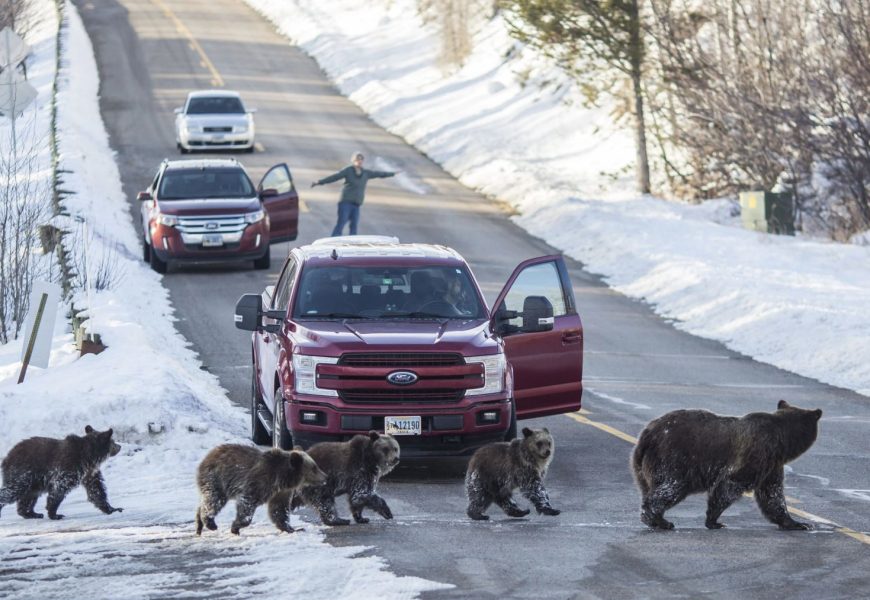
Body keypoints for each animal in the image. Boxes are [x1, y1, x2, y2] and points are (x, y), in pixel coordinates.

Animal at [195, 444, 327, 535]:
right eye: (314, 468)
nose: (325, 477)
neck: (282, 478)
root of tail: (207, 456)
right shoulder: (258, 482)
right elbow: (247, 504)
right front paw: (235, 527)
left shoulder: (281, 493)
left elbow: (279, 510)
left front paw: (292, 528)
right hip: (217, 479)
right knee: (214, 500)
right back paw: (210, 523)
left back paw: (199, 524)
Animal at [631, 400, 823, 531]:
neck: (783, 442)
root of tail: (647, 434)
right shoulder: (758, 453)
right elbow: (731, 484)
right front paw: (714, 520)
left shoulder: (772, 466)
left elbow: (772, 495)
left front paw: (797, 523)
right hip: (674, 458)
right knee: (671, 487)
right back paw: (659, 520)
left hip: (642, 467)